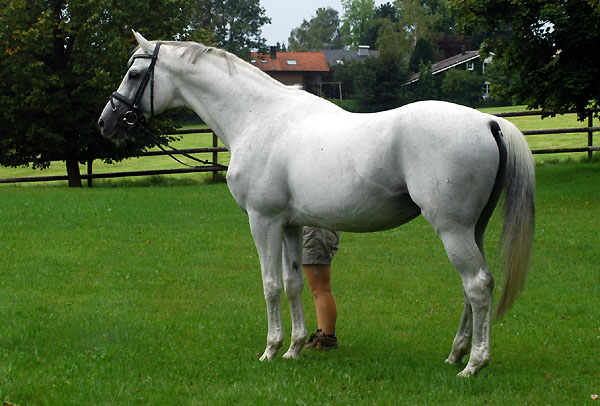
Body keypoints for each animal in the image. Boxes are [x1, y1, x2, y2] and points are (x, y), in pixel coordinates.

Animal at [97, 32, 536, 378]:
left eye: (134, 74)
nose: (106, 122)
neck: (258, 117)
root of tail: (488, 122)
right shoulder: (290, 224)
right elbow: (293, 284)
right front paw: (293, 348)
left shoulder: (263, 221)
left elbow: (270, 285)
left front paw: (270, 349)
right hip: (472, 229)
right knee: (473, 287)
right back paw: (456, 354)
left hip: (452, 229)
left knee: (477, 285)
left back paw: (473, 364)